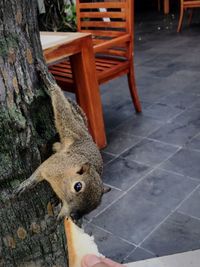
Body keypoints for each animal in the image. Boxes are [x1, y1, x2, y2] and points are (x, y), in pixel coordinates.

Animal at [13, 66, 110, 222]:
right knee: (63, 112)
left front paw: (58, 208)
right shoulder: (52, 166)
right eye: (78, 186)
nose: (74, 216)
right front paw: (27, 184)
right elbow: (38, 172)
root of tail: (85, 135)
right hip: (70, 129)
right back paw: (49, 82)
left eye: (94, 208)